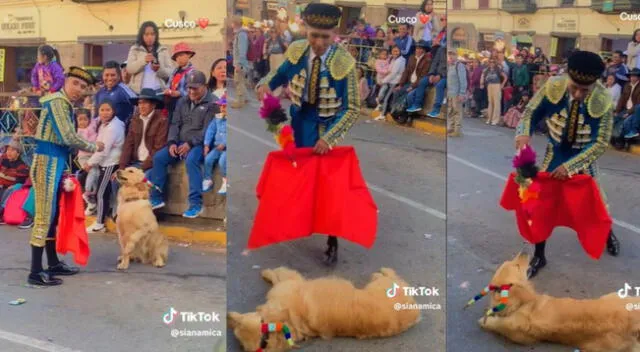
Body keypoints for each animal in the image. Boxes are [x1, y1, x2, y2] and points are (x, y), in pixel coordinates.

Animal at [229, 266, 420, 350]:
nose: (229, 318)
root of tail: (415, 313)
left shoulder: (290, 281)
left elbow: (277, 273)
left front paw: (266, 272)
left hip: (385, 285)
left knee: (391, 275)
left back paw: (382, 270)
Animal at [472, 253, 640, 352]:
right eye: (517, 265)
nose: (524, 251)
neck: (522, 304)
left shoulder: (520, 336)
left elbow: (495, 323)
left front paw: (486, 320)